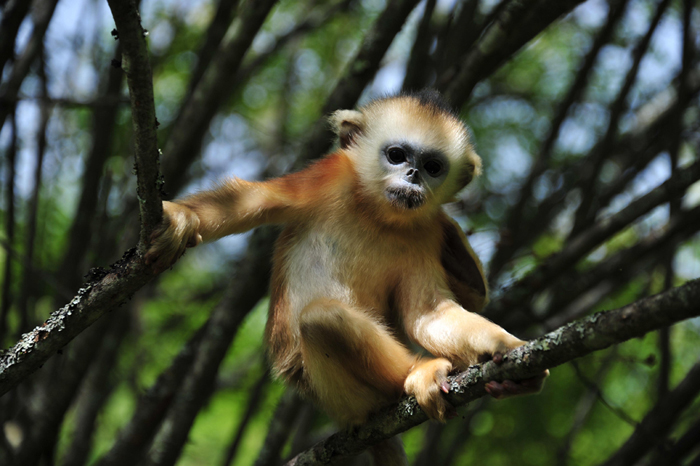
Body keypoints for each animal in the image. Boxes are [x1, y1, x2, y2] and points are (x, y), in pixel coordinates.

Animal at [145, 89, 544, 464]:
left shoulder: (426, 233)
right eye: (396, 155)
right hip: (332, 392)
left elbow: (428, 316)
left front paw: (506, 346)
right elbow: (249, 201)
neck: (376, 213)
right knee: (324, 318)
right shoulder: (326, 177)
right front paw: (183, 218)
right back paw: (419, 374)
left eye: (432, 166)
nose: (414, 176)